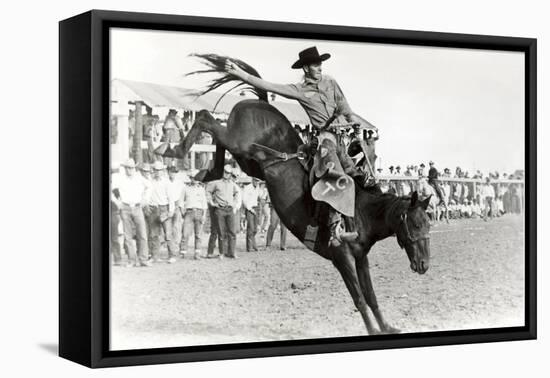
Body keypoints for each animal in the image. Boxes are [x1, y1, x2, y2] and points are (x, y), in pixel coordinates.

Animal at [160, 54, 436, 336]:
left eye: (428, 224)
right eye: (415, 224)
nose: (424, 264)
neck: (361, 211)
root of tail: (259, 101)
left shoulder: (361, 258)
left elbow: (371, 296)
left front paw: (387, 327)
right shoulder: (342, 257)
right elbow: (359, 298)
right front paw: (374, 330)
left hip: (247, 160)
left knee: (217, 140)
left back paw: (206, 171)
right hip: (239, 143)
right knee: (206, 118)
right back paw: (172, 150)